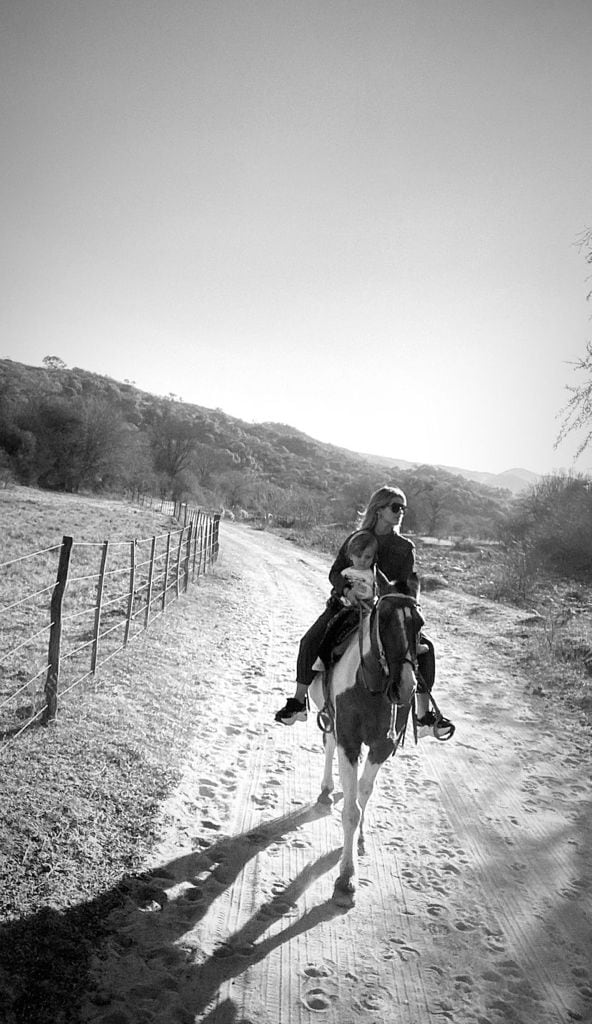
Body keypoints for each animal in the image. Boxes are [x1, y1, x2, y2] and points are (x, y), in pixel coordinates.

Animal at [307, 593, 421, 905]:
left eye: (419, 624)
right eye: (383, 621)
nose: (406, 685)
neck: (370, 687)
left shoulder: (382, 746)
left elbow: (363, 793)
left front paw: (360, 840)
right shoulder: (349, 741)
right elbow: (350, 810)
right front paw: (347, 877)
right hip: (330, 719)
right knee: (328, 745)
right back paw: (326, 789)